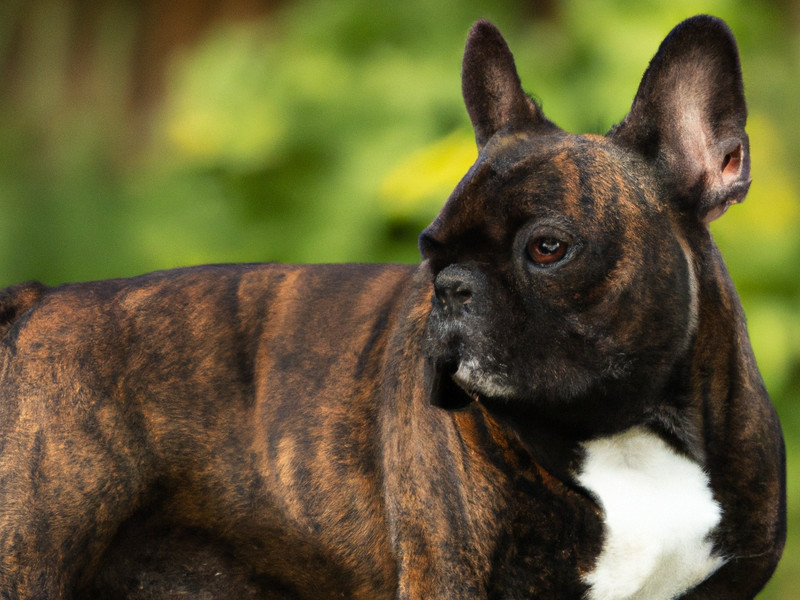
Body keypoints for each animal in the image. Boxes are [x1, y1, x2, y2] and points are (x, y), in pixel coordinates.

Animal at [0, 14, 788, 600]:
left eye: (548, 248)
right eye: (430, 249)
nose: (452, 286)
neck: (626, 432)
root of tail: (36, 304)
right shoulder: (453, 575)